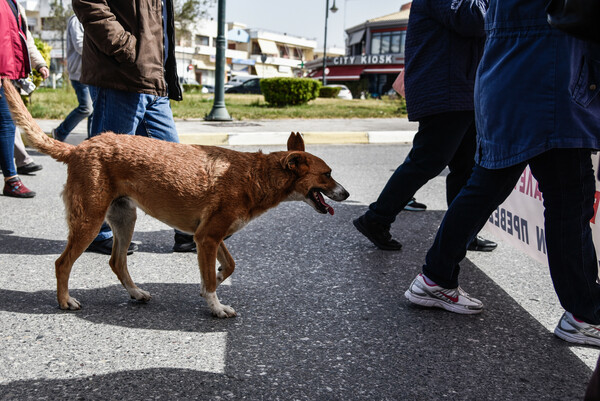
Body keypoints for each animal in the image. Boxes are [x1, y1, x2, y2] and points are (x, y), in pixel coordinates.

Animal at [2, 77, 350, 316]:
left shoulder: (209, 236)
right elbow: (210, 281)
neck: (257, 175)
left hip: (125, 218)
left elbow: (229, 266)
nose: (347, 193)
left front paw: (218, 278)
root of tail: (79, 148)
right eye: (328, 174)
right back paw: (64, 300)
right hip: (89, 221)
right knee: (62, 262)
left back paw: (136, 293)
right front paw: (215, 306)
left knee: (117, 261)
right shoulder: (208, 237)